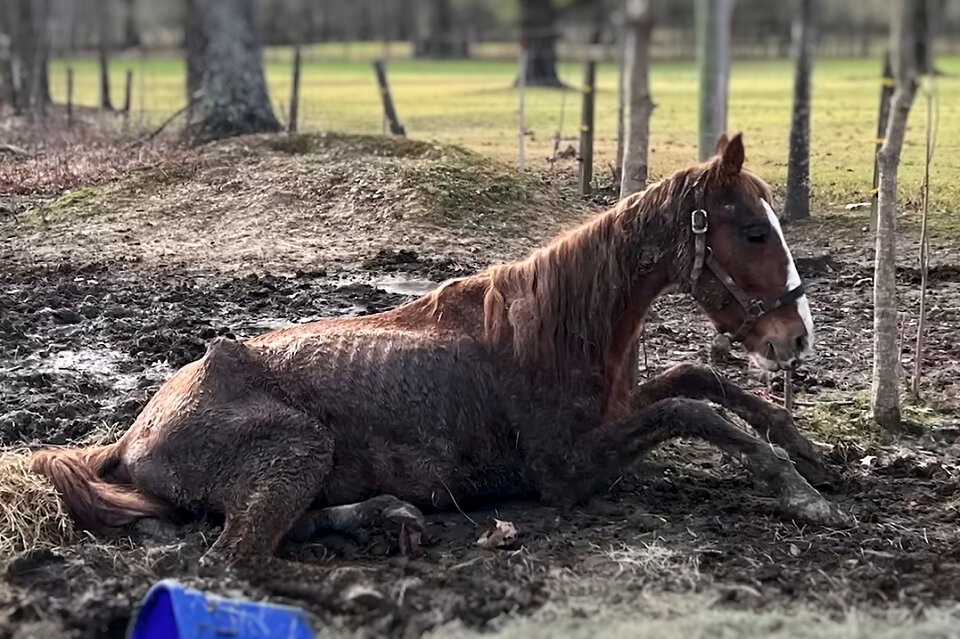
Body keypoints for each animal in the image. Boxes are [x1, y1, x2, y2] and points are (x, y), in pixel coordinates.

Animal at [30, 134, 844, 564]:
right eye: (752, 232)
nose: (794, 337)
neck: (555, 329)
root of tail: (133, 433)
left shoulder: (621, 407)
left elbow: (701, 380)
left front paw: (812, 454)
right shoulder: (568, 472)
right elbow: (693, 411)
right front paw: (802, 495)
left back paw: (387, 513)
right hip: (296, 452)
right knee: (234, 554)